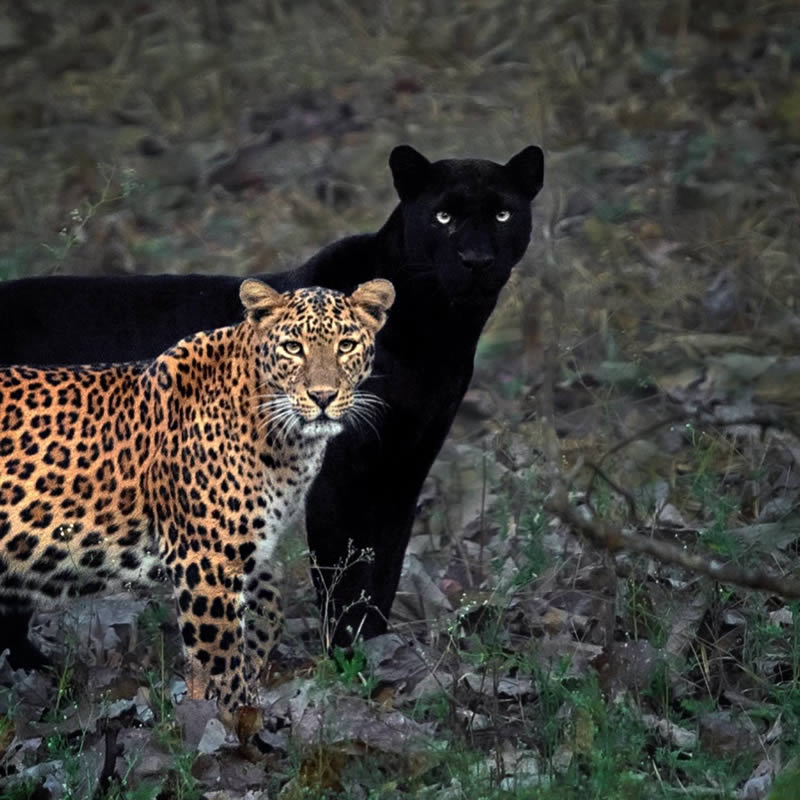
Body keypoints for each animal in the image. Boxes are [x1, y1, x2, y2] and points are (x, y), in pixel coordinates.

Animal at [0, 276, 396, 712]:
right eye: (293, 347)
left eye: (346, 345)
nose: (322, 397)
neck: (285, 441)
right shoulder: (205, 559)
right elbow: (220, 657)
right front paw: (235, 717)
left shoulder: (244, 547)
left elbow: (269, 608)